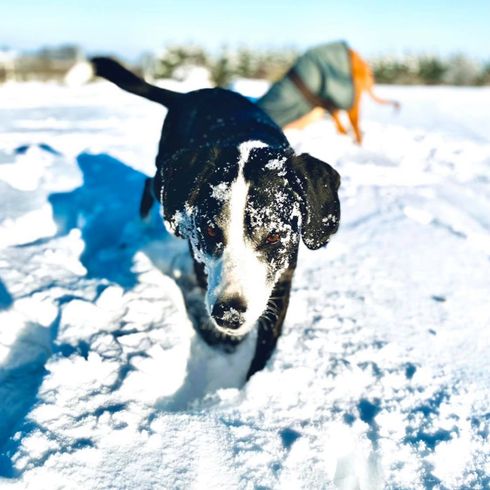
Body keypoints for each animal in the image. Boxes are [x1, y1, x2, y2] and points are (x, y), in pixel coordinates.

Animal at [89, 57, 340, 378]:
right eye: (209, 231)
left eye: (274, 235)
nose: (229, 314)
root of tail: (188, 95)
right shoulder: (199, 257)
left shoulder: (283, 276)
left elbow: (266, 345)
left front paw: (252, 383)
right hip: (165, 177)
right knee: (149, 184)